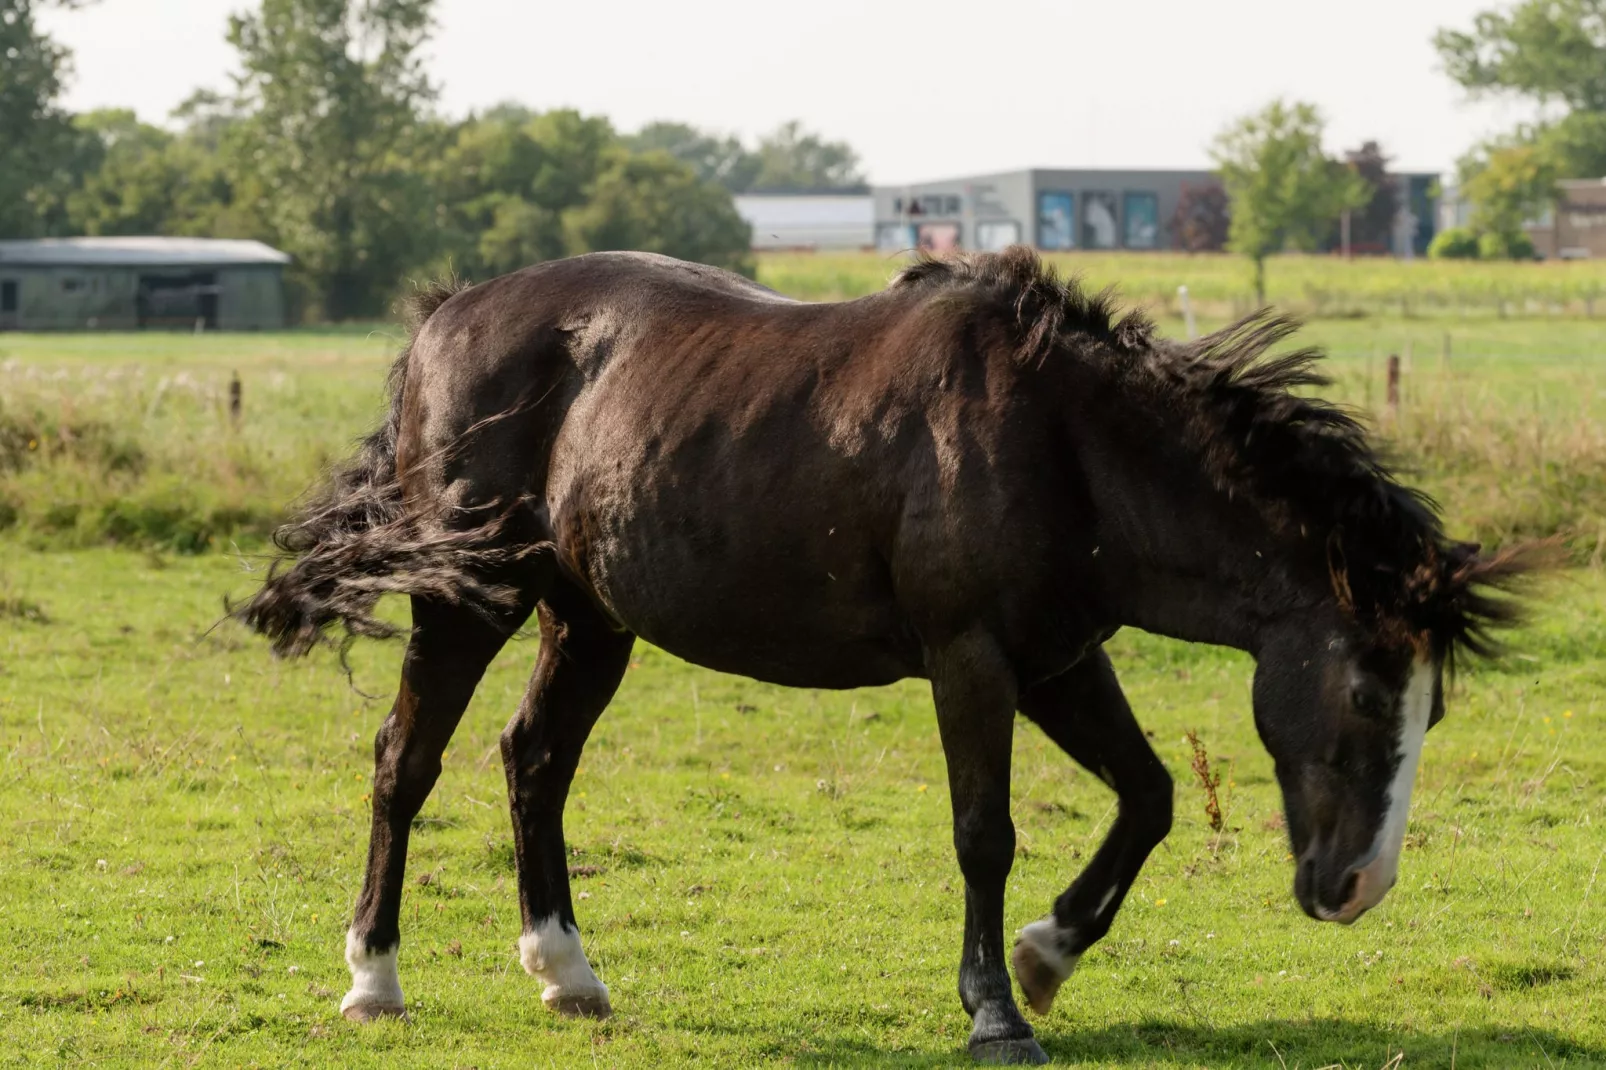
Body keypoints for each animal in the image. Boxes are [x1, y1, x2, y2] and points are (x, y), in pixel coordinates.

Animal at [237, 247, 1528, 1060]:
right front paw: (997, 1010)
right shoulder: (973, 660)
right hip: (469, 599)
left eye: (1430, 708)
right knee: (405, 761)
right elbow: (983, 832)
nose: (1357, 886)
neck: (1063, 440)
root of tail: (446, 314)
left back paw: (566, 970)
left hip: (589, 616)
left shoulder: (1059, 658)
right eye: (1362, 684)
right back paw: (373, 978)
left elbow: (1150, 795)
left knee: (534, 760)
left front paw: (1049, 951)